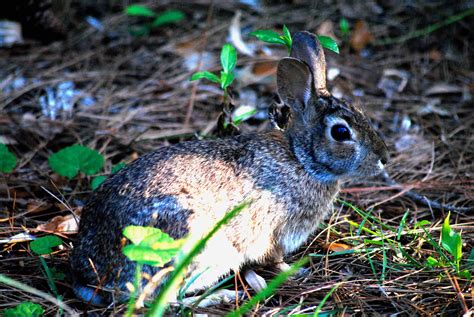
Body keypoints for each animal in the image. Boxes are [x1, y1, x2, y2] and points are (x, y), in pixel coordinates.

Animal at [70, 31, 388, 304]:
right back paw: (219, 297)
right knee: (164, 299)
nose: (383, 157)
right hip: (185, 247)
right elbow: (275, 259)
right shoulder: (274, 233)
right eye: (341, 132)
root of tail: (93, 276)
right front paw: (295, 270)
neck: (301, 160)